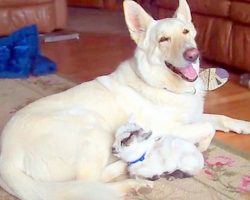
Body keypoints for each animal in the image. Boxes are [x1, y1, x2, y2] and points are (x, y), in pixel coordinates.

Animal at [0, 0, 250, 200]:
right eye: (163, 40)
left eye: (186, 32)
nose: (193, 54)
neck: (162, 84)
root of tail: (6, 159)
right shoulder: (168, 128)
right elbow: (208, 127)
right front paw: (203, 145)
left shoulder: (193, 116)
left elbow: (219, 118)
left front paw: (243, 125)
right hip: (94, 131)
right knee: (89, 183)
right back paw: (130, 177)